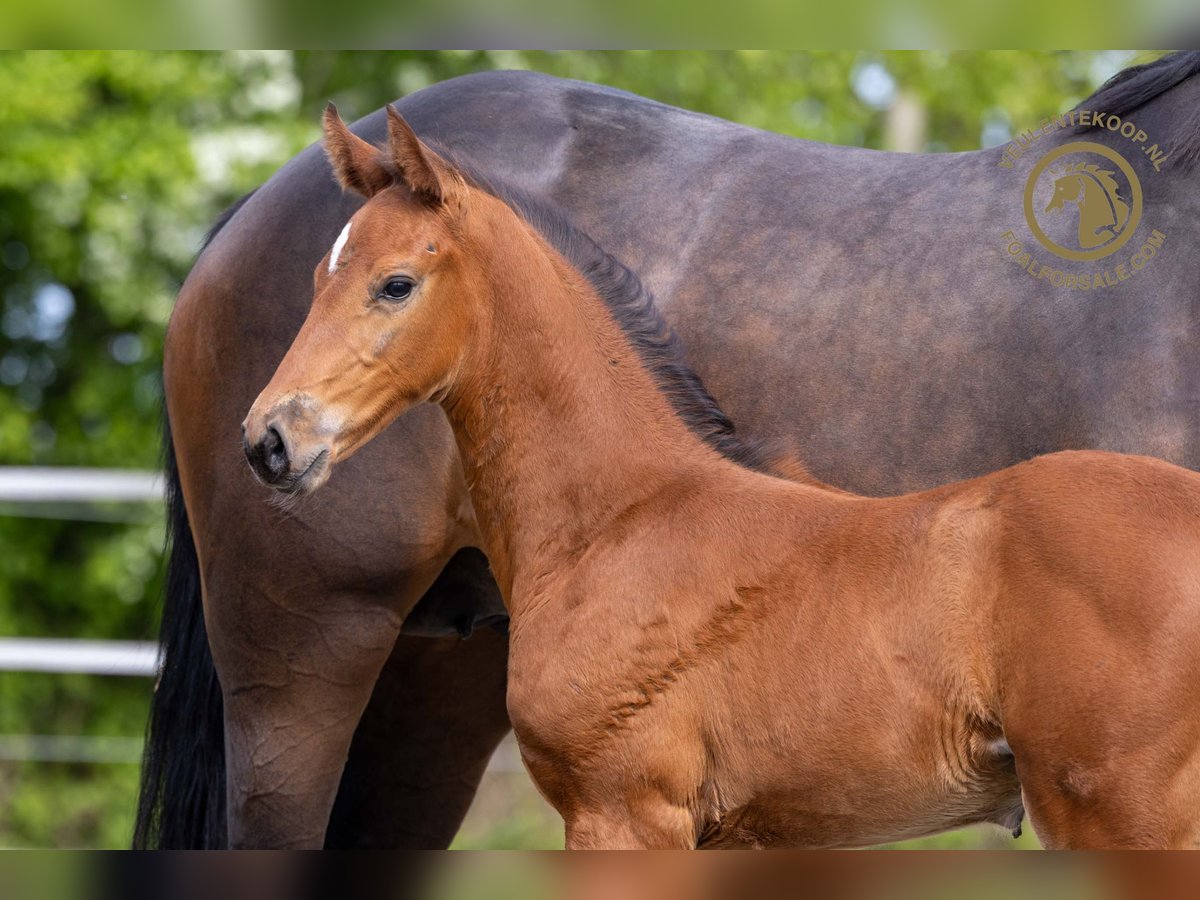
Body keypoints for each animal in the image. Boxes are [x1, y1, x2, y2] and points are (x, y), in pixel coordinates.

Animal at [243, 107, 1200, 854]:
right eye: (317, 275)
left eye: (395, 283)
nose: (269, 439)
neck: (619, 519)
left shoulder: (624, 813)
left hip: (1119, 812)